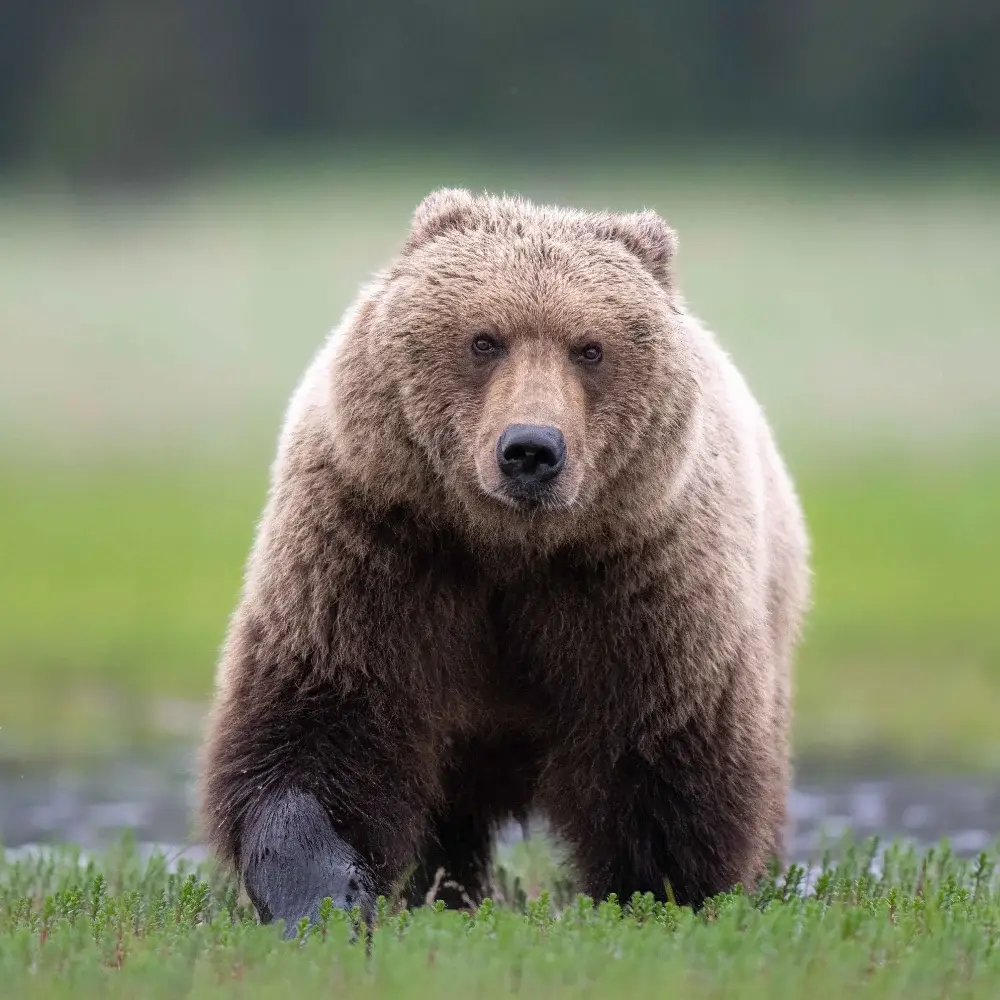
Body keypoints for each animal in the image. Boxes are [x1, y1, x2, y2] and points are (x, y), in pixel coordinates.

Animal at [197, 188, 810, 933]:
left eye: (590, 347)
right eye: (484, 339)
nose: (531, 450)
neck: (509, 547)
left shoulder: (639, 579)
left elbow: (663, 765)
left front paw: (659, 895)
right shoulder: (377, 546)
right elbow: (319, 725)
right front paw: (326, 899)